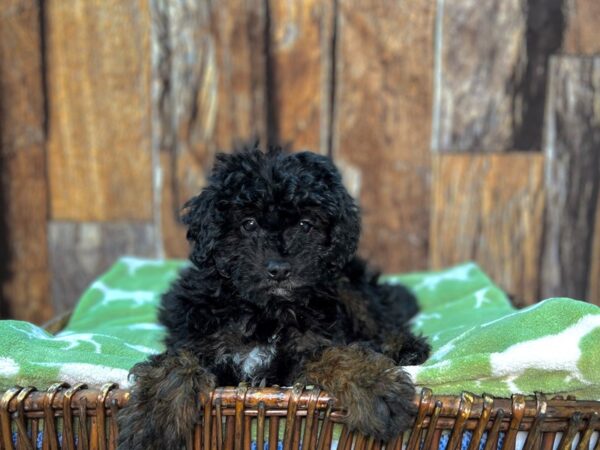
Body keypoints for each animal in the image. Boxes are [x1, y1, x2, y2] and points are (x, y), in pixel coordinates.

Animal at [117, 146, 428, 448]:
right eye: (249, 223)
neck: (265, 311)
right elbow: (178, 361)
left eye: (305, 225)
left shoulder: (307, 344)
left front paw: (375, 387)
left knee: (377, 317)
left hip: (346, 283)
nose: (279, 269)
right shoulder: (198, 335)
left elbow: (335, 353)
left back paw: (404, 346)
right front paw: (153, 418)